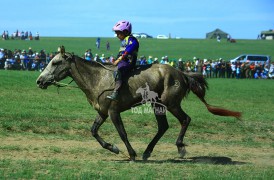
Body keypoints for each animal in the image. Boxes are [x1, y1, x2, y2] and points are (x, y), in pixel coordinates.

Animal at [35, 46, 240, 160]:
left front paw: (131, 154)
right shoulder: (102, 112)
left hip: (171, 104)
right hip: (158, 106)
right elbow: (93, 131)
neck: (98, 79)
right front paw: (113, 148)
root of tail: (181, 73)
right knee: (163, 126)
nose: (39, 81)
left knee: (185, 120)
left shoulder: (113, 112)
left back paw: (180, 147)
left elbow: (123, 133)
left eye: (55, 62)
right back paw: (148, 151)